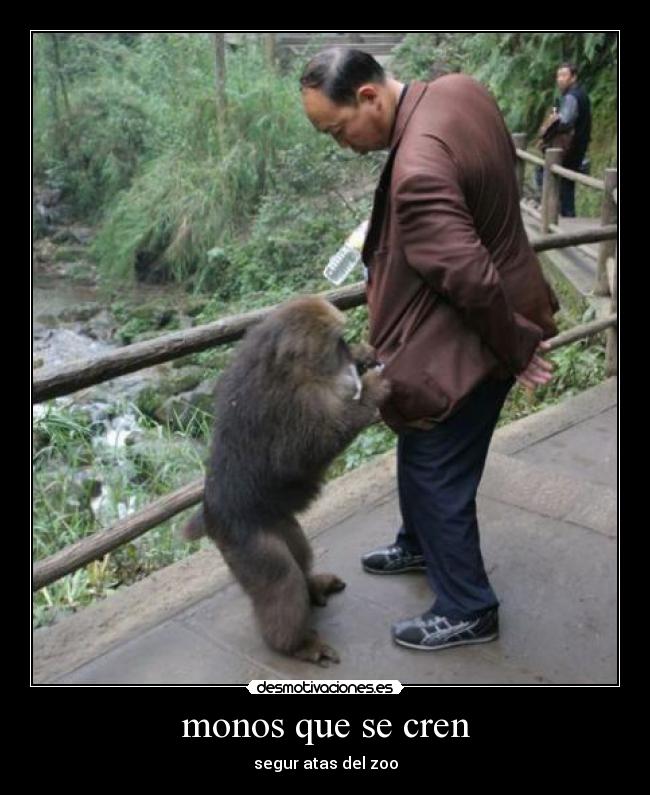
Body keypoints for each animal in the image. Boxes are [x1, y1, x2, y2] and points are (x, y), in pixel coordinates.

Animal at [183, 295, 390, 665]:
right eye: (335, 342)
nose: (347, 352)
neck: (292, 369)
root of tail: (211, 514)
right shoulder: (294, 405)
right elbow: (304, 451)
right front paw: (371, 390)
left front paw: (364, 355)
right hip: (246, 542)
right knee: (281, 579)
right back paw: (294, 644)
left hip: (276, 518)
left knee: (297, 547)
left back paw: (312, 585)